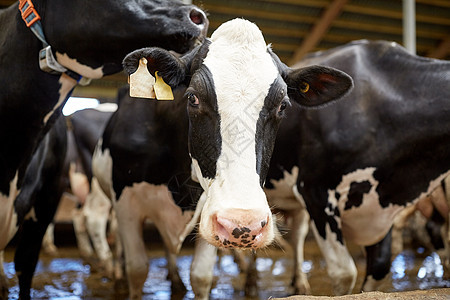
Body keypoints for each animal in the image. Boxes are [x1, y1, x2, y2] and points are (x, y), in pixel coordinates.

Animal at [262, 39, 450, 296]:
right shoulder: (315, 191)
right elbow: (344, 273)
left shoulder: (381, 202)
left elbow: (379, 268)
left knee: (298, 233)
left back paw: (299, 284)